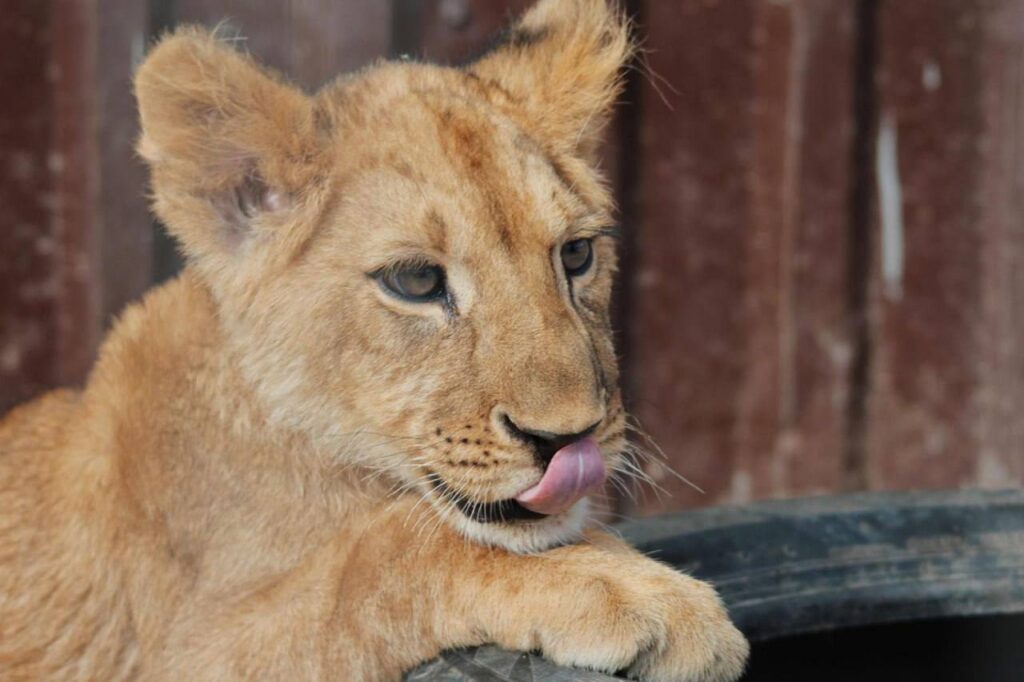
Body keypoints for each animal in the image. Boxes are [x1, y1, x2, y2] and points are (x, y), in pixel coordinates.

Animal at [0, 0, 748, 679]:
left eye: (575, 255)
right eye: (416, 281)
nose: (568, 440)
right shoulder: (184, 652)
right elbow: (378, 560)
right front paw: (620, 585)